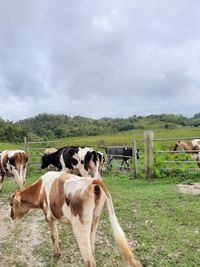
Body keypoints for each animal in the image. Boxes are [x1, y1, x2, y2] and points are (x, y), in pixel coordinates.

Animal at [9, 172, 142, 267]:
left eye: (11, 204)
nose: (11, 217)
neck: (40, 189)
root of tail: (92, 181)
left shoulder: (48, 216)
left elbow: (54, 236)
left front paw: (57, 255)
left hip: (80, 227)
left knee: (89, 260)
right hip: (95, 219)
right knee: (92, 250)